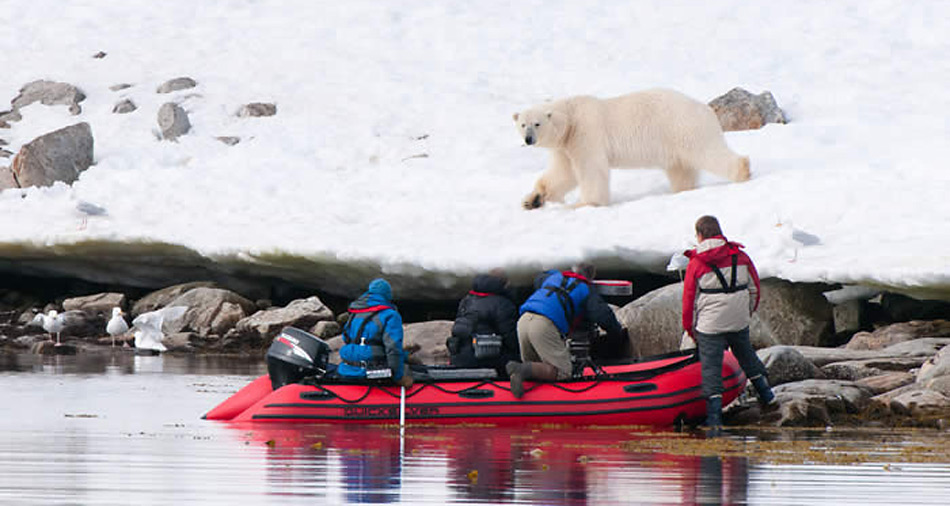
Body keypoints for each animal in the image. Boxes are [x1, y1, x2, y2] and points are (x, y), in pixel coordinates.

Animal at [512, 89, 752, 210]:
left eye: (537, 123)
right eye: (522, 124)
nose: (528, 139)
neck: (571, 116)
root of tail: (706, 108)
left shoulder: (586, 133)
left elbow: (591, 169)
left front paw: (585, 203)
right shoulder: (566, 145)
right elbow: (563, 173)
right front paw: (532, 199)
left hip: (684, 128)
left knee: (709, 153)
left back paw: (743, 170)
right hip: (675, 144)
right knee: (681, 170)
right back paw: (682, 190)